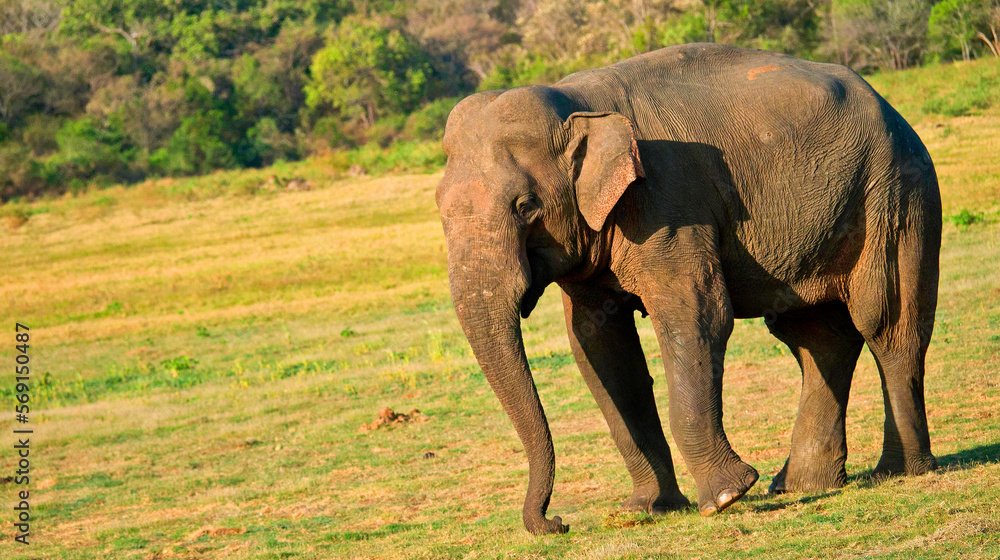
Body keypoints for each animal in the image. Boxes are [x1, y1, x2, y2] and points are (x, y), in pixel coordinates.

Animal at [436, 43, 940, 535]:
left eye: (525, 206)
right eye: (439, 209)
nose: (557, 522)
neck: (574, 101)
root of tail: (893, 109)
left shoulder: (669, 203)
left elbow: (695, 318)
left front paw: (725, 498)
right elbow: (597, 346)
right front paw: (648, 508)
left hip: (896, 195)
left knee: (886, 323)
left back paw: (899, 471)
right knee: (816, 337)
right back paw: (800, 485)